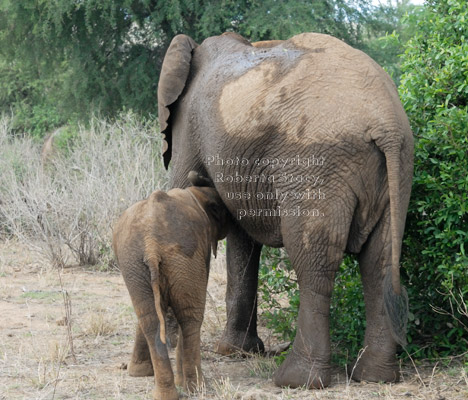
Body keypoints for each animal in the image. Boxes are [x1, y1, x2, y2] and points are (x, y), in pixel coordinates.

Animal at [113, 173, 230, 400]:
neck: (196, 193)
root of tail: (151, 244)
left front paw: (139, 373)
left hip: (134, 262)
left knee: (149, 319)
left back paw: (165, 393)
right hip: (181, 257)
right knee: (191, 316)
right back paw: (196, 388)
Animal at [154, 32, 414, 390]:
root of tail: (386, 123)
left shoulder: (189, 130)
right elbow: (242, 239)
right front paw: (237, 352)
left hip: (316, 166)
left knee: (313, 261)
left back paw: (297, 380)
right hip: (397, 167)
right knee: (379, 260)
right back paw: (375, 377)